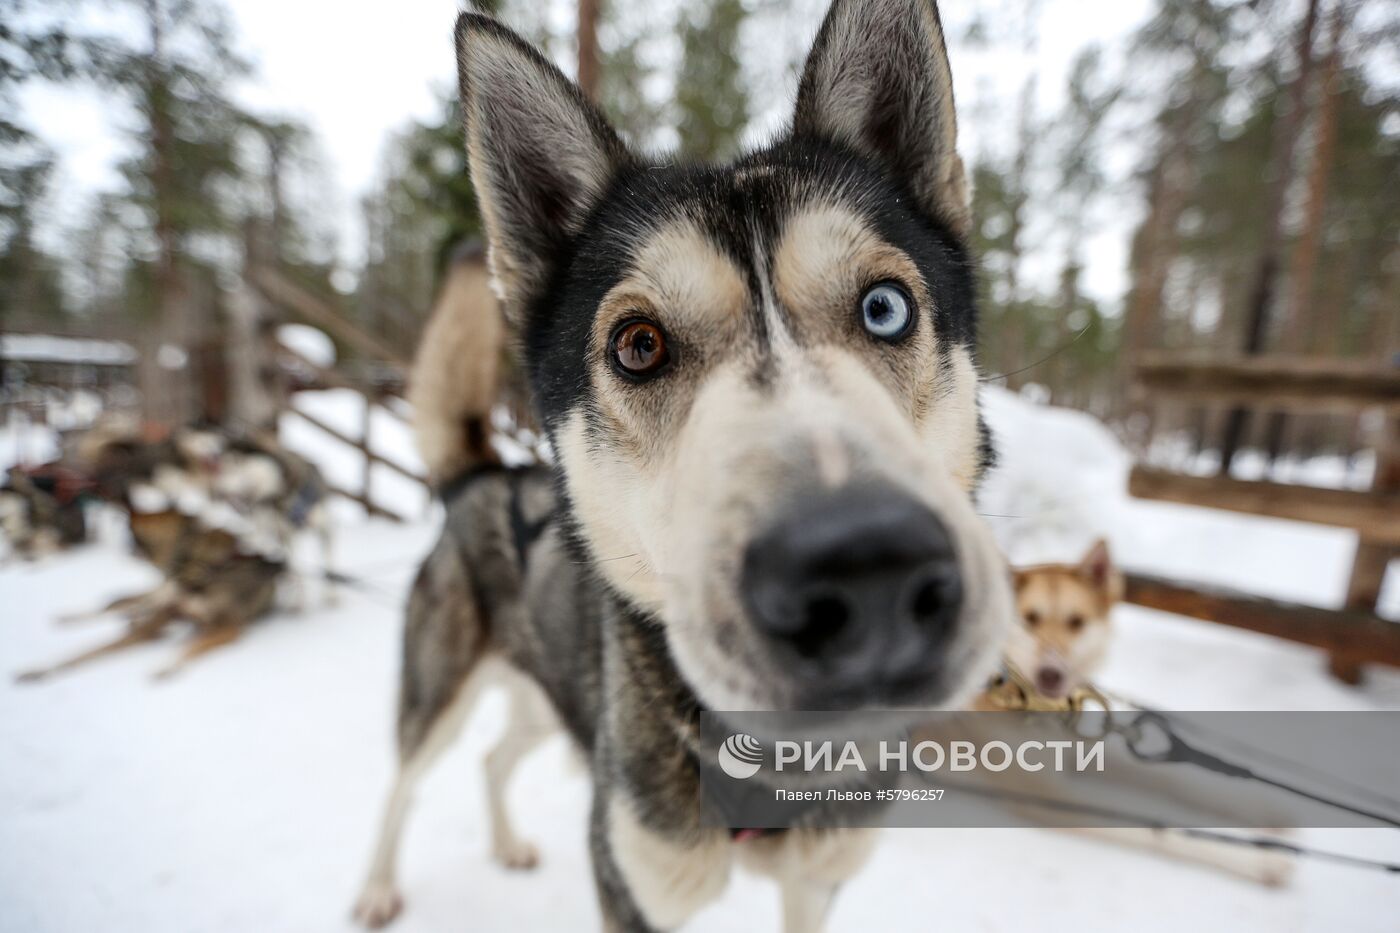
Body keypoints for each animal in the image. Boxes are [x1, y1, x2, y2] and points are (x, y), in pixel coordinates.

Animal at [350, 3, 1019, 924]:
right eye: (638, 345)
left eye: (885, 307)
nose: (867, 570)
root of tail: (481, 478)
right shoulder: (634, 883)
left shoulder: (817, 881)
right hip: (440, 694)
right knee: (402, 785)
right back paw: (378, 886)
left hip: (554, 702)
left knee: (494, 756)